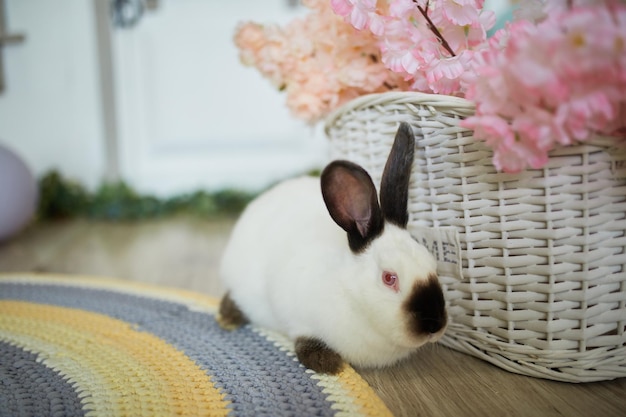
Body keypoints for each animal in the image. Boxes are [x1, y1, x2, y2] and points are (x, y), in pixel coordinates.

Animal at [217, 122, 446, 372]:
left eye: (433, 265)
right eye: (389, 278)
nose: (435, 325)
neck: (350, 292)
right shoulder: (297, 315)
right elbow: (304, 339)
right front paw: (328, 364)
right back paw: (227, 318)